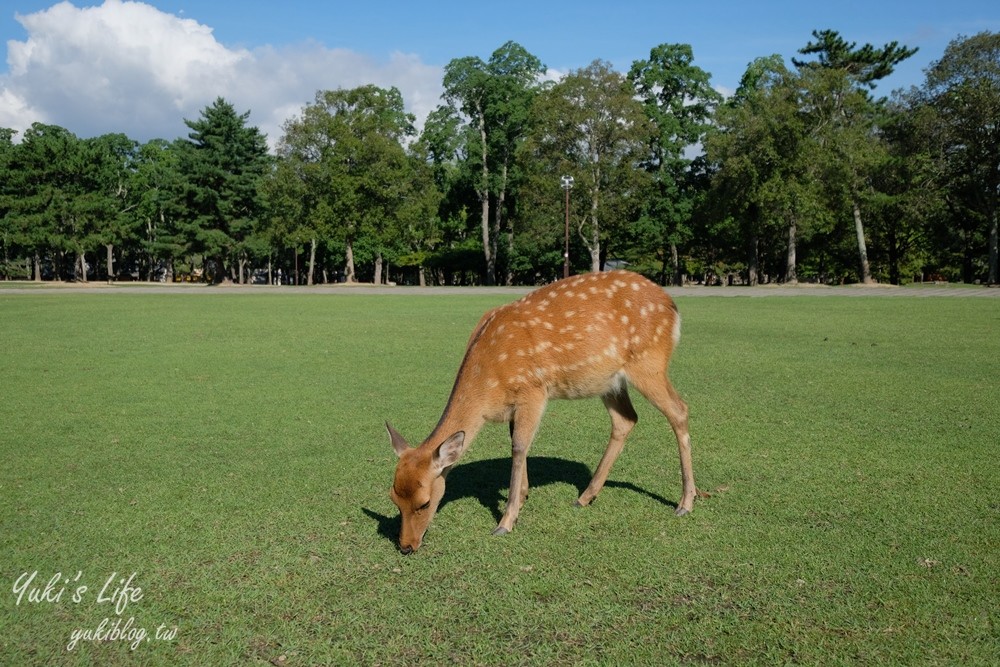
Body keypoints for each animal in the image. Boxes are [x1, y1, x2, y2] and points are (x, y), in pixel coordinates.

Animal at [384, 268, 696, 556]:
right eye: (393, 498)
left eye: (424, 502)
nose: (406, 546)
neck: (489, 388)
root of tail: (672, 306)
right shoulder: (515, 405)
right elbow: (516, 444)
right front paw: (523, 497)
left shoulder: (532, 390)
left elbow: (520, 446)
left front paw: (506, 521)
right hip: (609, 381)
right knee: (626, 419)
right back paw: (585, 496)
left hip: (648, 362)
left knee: (679, 409)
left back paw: (686, 502)